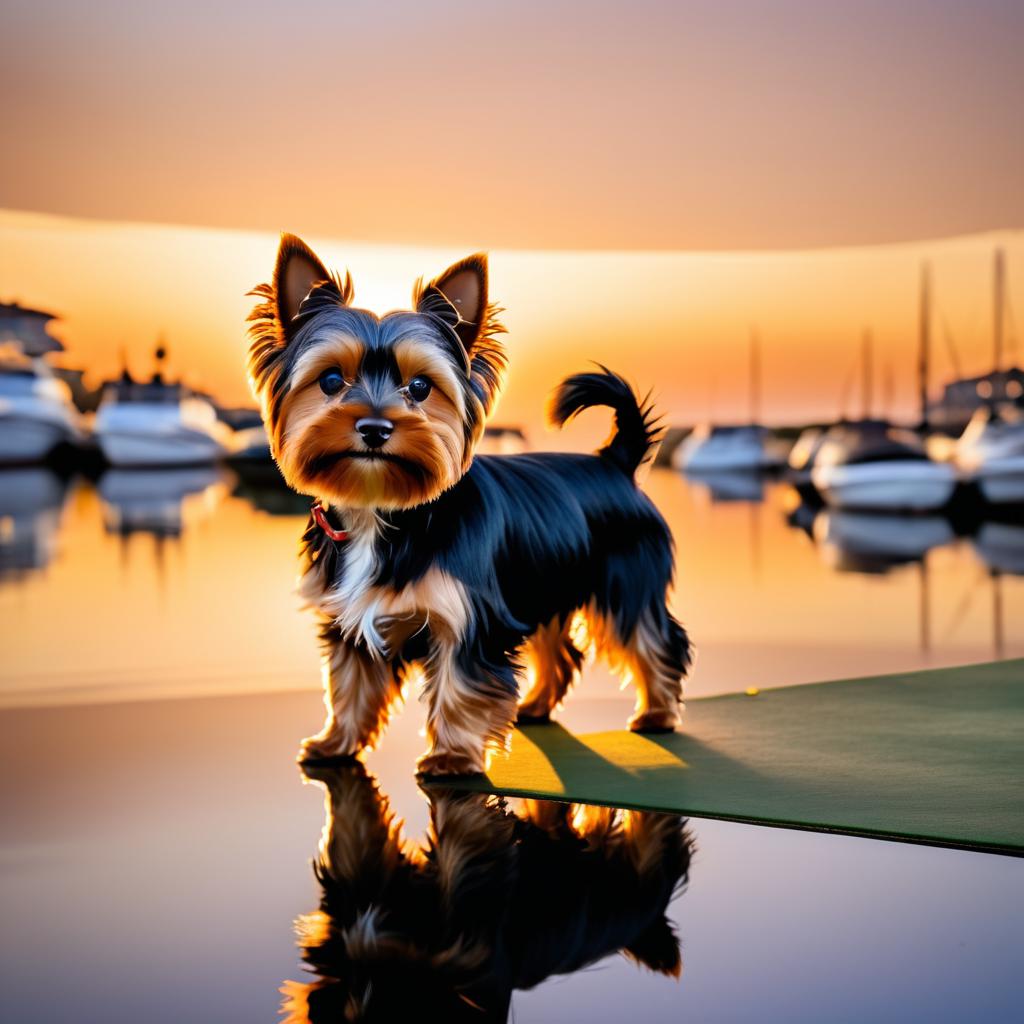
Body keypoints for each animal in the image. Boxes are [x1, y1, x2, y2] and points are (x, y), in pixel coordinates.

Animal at [247, 234, 692, 774]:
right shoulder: (350, 618)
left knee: (652, 637)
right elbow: (349, 685)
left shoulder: (470, 619)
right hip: (541, 582)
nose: (374, 428)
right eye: (331, 381)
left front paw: (452, 757)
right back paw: (536, 707)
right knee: (559, 649)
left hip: (625, 581)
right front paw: (336, 744)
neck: (383, 512)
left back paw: (658, 714)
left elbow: (461, 687)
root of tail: (616, 462)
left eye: (420, 387)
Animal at [282, 765, 696, 1019]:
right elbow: (356, 836)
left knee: (659, 835)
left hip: (647, 873)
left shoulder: (474, 920)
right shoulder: (360, 897)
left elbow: (464, 835)